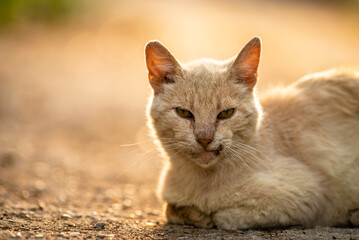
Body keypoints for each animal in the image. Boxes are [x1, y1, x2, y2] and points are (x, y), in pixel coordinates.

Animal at [144, 36, 359, 230]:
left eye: (226, 113)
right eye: (184, 113)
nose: (205, 139)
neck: (202, 182)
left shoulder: (309, 196)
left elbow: (225, 218)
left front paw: (209, 216)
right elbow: (171, 210)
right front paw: (196, 215)